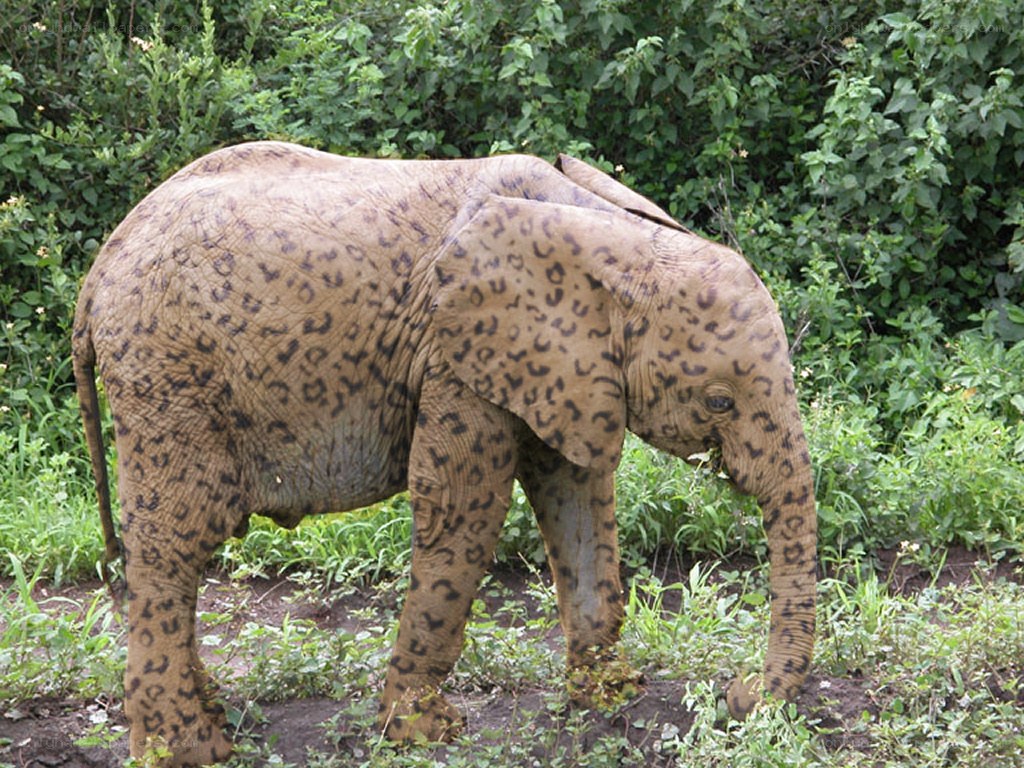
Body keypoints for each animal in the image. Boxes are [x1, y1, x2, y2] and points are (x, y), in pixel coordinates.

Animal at [73, 142, 817, 765]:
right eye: (719, 403)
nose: (736, 694)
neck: (616, 240)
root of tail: (100, 268)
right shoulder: (456, 356)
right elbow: (464, 509)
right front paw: (426, 734)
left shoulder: (562, 368)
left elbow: (577, 490)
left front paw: (610, 696)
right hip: (167, 374)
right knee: (175, 543)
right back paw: (193, 750)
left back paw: (211, 723)